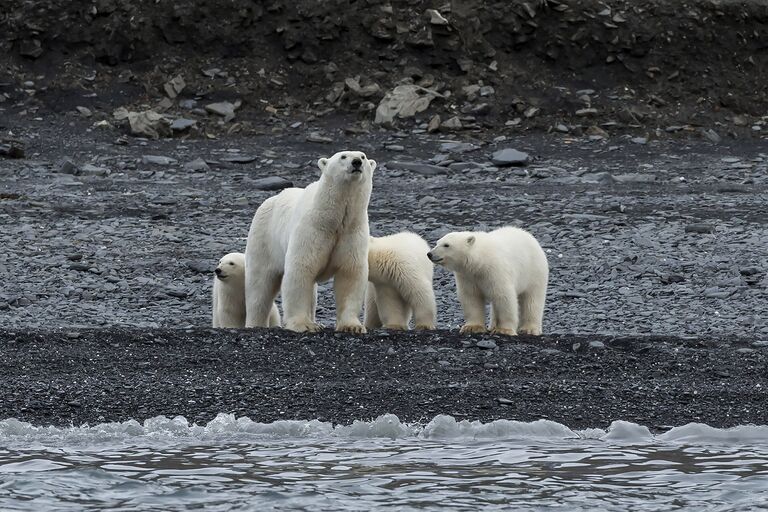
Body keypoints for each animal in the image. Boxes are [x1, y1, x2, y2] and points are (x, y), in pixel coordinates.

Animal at [244, 149, 376, 332]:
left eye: (363, 156)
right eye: (343, 156)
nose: (356, 162)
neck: (333, 220)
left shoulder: (352, 231)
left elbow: (350, 273)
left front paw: (352, 326)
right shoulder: (311, 230)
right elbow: (301, 270)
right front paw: (303, 325)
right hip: (264, 238)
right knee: (259, 285)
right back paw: (255, 323)